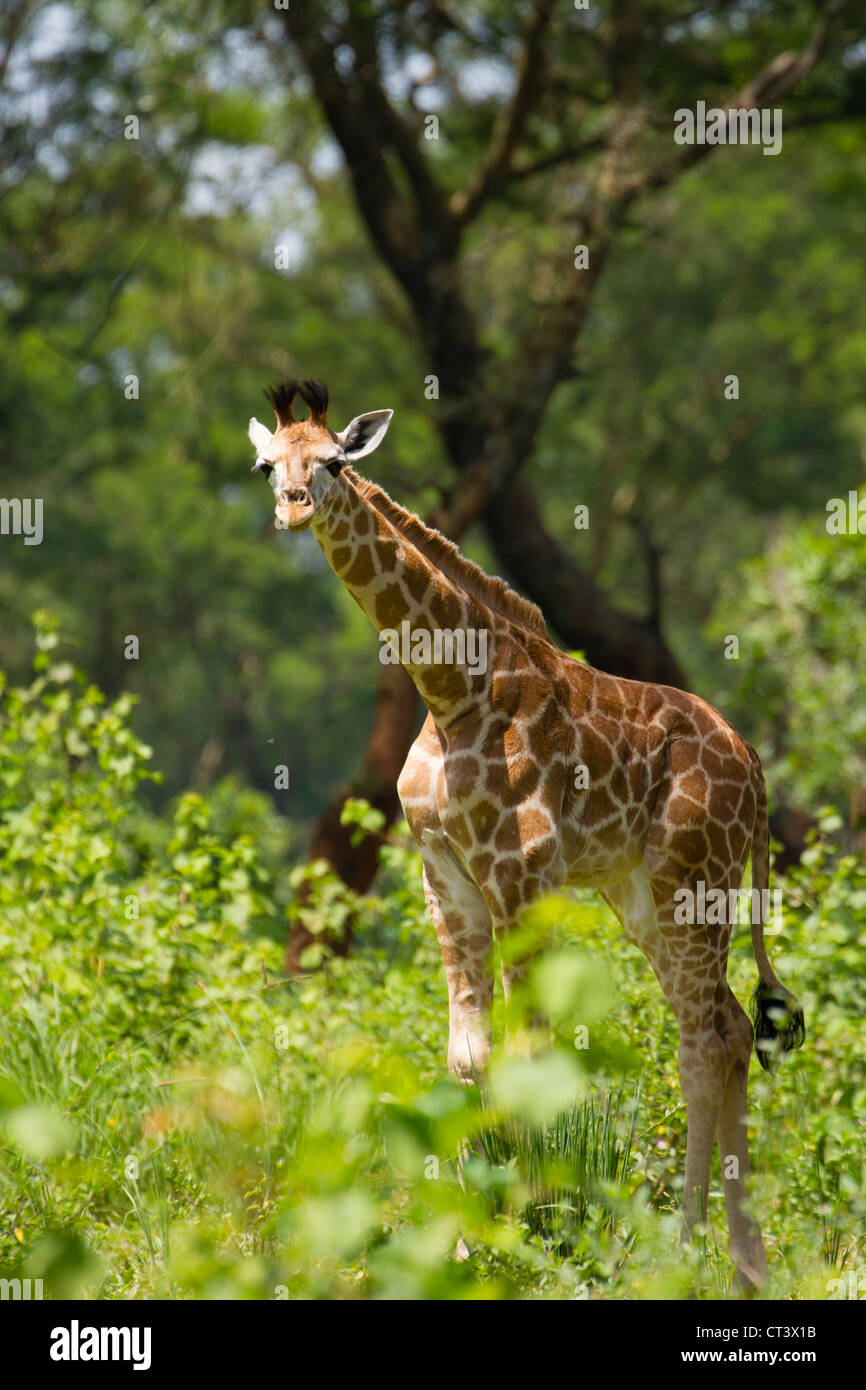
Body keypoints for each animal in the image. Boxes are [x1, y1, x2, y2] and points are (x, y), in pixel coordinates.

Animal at [248, 380, 806, 1289]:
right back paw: (745, 1266)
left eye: (332, 462)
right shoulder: (447, 875)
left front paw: (532, 1234)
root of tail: (756, 770)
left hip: (693, 879)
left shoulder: (521, 873)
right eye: (269, 464)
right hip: (640, 894)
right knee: (730, 1026)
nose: (293, 508)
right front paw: (466, 1243)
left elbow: (529, 1059)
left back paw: (684, 1252)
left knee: (706, 1036)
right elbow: (470, 1057)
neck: (450, 688)